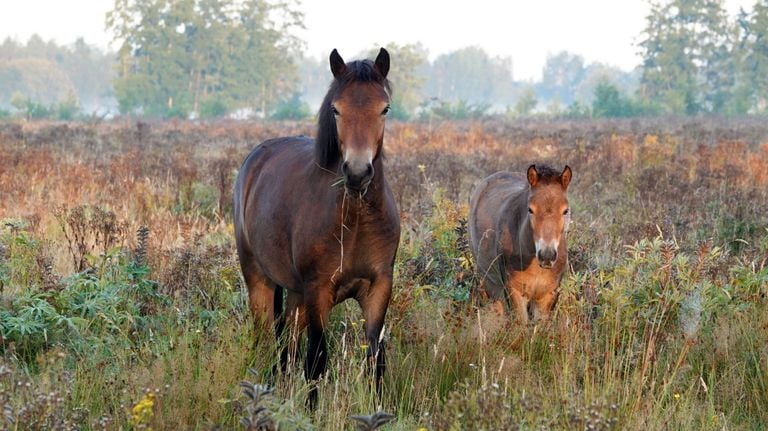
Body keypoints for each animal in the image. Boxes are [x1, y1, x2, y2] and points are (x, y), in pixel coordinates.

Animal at [232, 48, 400, 408]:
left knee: (286, 346)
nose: (357, 173)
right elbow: (317, 359)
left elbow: (375, 359)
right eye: (336, 109)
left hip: (296, 296)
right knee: (267, 341)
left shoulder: (379, 287)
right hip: (260, 281)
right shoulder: (319, 291)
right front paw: (311, 412)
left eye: (384, 108)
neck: (355, 220)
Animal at [468, 165, 568, 324]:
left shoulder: (547, 296)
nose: (547, 256)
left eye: (565, 210)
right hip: (491, 284)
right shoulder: (515, 293)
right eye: (530, 209)